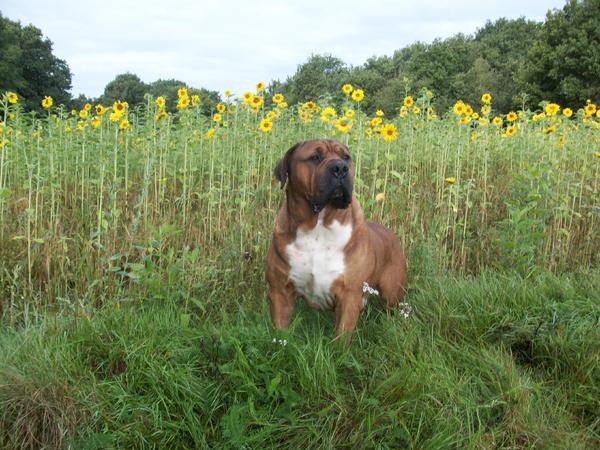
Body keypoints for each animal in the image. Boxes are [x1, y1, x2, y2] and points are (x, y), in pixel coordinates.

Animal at [268, 139, 408, 340]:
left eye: (346, 157)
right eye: (315, 157)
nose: (340, 168)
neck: (318, 227)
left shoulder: (349, 297)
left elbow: (340, 339)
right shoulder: (280, 293)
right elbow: (280, 333)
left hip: (391, 293)